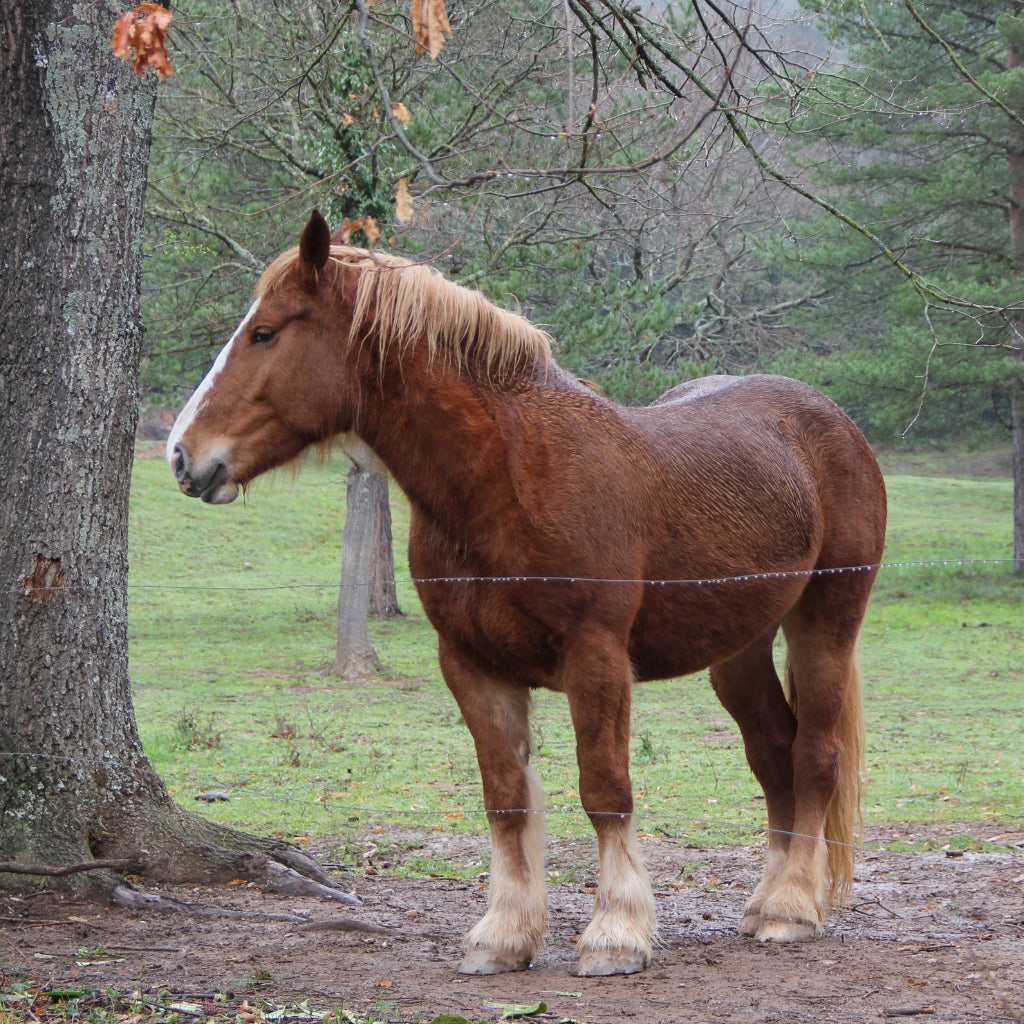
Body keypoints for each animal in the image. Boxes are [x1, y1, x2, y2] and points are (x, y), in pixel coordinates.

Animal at [167, 210, 887, 977]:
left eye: (266, 332)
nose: (183, 456)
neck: (506, 477)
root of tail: (833, 422)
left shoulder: (596, 659)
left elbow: (605, 789)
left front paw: (616, 933)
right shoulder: (473, 666)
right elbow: (506, 799)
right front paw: (504, 934)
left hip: (824, 626)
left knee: (814, 756)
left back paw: (791, 909)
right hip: (739, 650)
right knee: (774, 754)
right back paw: (766, 900)